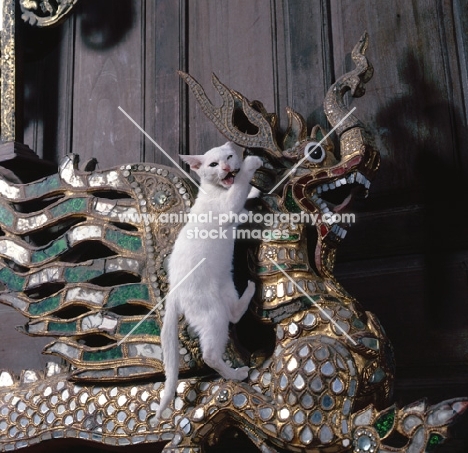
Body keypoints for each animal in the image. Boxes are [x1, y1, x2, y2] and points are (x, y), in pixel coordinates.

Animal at [155, 140, 262, 416]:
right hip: (213, 315)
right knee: (210, 355)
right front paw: (252, 164)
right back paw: (237, 374)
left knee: (233, 313)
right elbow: (239, 186)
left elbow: (242, 195)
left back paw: (249, 289)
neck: (215, 191)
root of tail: (173, 291)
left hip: (226, 287)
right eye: (213, 164)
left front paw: (254, 190)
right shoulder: (227, 208)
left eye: (229, 156)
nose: (225, 167)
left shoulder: (236, 209)